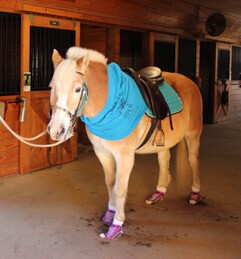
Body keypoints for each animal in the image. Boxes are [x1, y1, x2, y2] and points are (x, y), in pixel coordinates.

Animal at [48, 46, 202, 240]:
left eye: (77, 89)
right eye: (52, 87)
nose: (56, 130)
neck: (110, 103)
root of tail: (189, 82)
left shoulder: (125, 157)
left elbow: (120, 188)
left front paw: (116, 225)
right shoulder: (103, 153)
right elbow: (110, 183)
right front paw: (110, 214)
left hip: (193, 135)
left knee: (193, 160)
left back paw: (195, 194)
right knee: (164, 160)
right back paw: (158, 193)